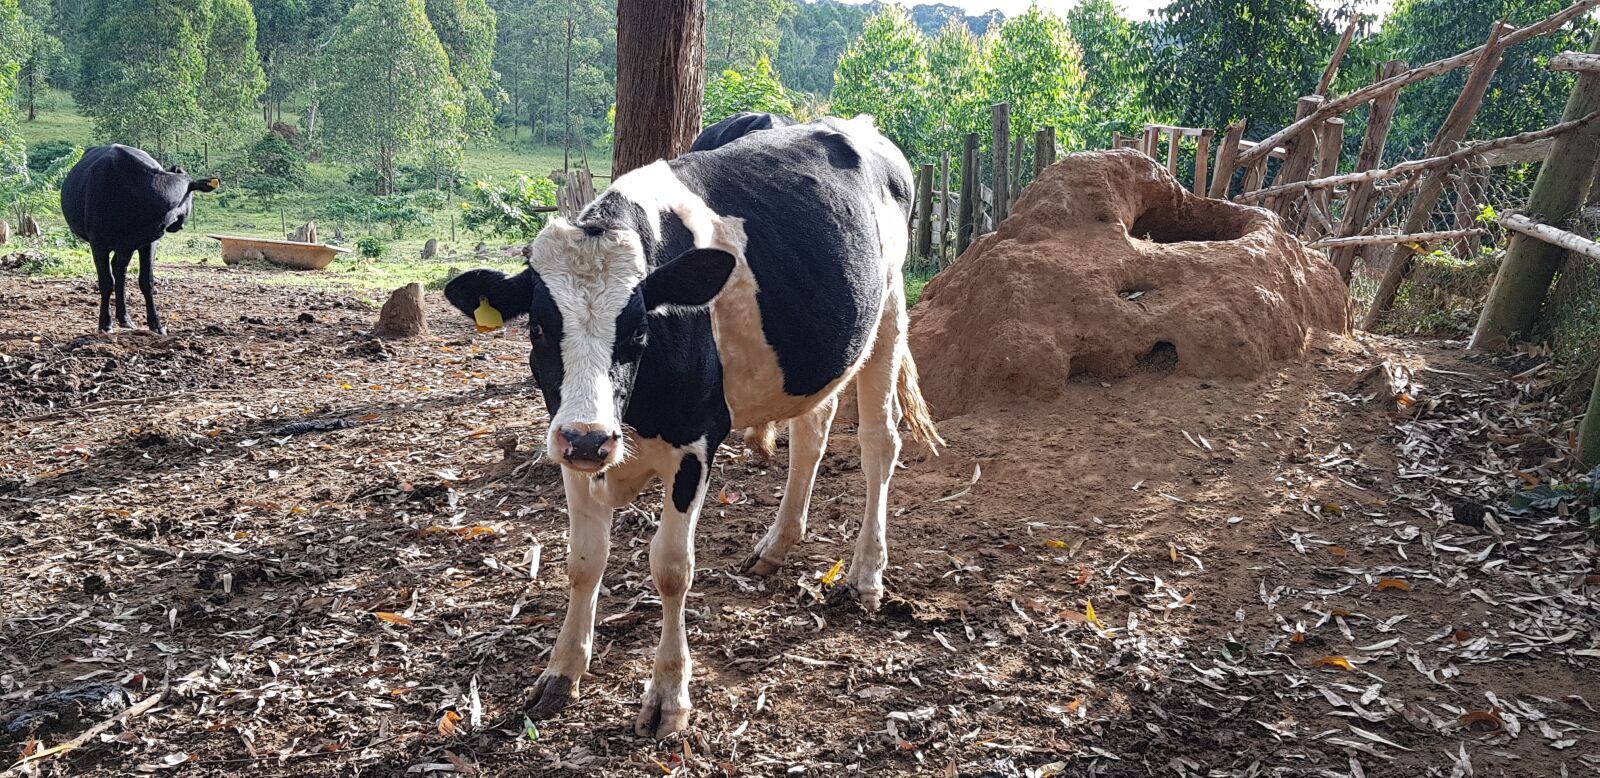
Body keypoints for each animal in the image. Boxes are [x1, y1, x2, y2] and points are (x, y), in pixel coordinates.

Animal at [61, 145, 219, 334]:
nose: (179, 226)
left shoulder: (148, 240)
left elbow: (146, 281)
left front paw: (156, 324)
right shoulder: (98, 243)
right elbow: (106, 282)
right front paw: (105, 323)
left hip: (126, 246)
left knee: (119, 271)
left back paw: (125, 318)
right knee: (116, 273)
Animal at [443, 115, 942, 738]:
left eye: (638, 328)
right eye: (537, 327)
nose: (589, 437)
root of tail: (853, 124)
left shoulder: (697, 441)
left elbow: (672, 568)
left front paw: (668, 695)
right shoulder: (574, 449)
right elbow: (583, 561)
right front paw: (562, 671)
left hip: (890, 309)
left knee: (880, 443)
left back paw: (867, 574)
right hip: (824, 352)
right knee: (813, 431)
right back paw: (777, 544)